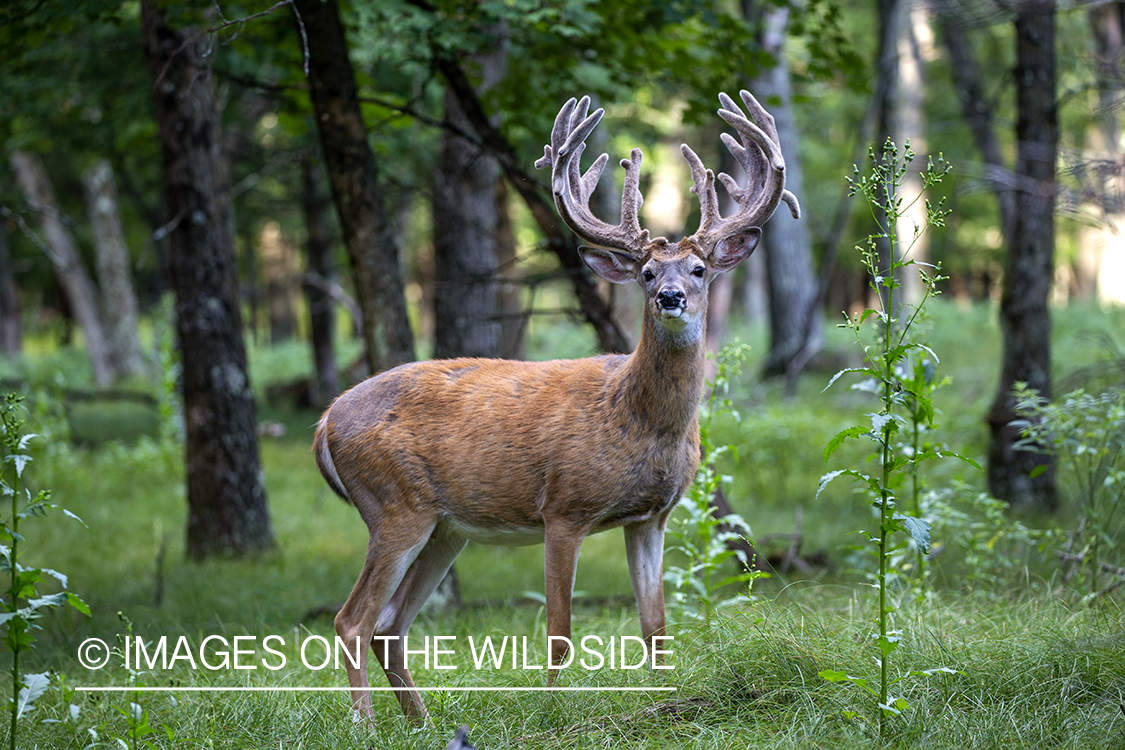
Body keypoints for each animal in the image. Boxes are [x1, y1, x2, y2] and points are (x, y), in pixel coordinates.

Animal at [308, 89, 801, 728]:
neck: (637, 419)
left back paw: (424, 723)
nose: (670, 297)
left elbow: (656, 626)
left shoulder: (651, 516)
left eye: (699, 269)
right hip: (394, 504)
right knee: (353, 619)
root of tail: (325, 420)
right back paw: (368, 725)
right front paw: (552, 713)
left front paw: (666, 703)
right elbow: (560, 630)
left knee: (390, 624)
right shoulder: (564, 506)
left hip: (445, 526)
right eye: (646, 273)